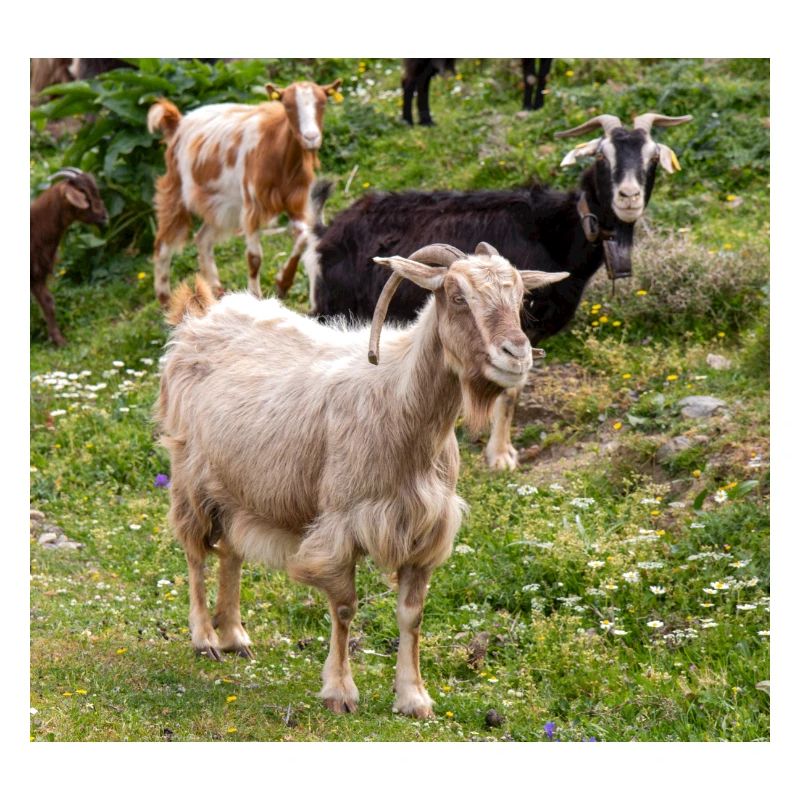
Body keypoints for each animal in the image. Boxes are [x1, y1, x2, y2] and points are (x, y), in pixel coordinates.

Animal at [30, 168, 108, 346]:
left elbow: (49, 303)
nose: (104, 216)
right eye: (84, 195)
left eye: (95, 190)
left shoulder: (38, 275)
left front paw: (59, 340)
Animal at [147, 78, 341, 307]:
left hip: (222, 206)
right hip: (176, 191)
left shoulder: (296, 201)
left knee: (203, 239)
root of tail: (177, 124)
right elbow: (254, 258)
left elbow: (303, 238)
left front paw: (282, 284)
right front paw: (256, 297)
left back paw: (217, 292)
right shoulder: (252, 205)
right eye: (287, 105)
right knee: (163, 246)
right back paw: (166, 302)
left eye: (323, 103)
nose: (311, 137)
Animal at [156, 244, 567, 717]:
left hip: (239, 483)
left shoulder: (424, 530)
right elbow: (345, 608)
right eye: (456, 295)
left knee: (230, 551)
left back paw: (235, 635)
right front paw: (340, 691)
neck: (399, 401)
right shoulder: (342, 524)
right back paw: (205, 638)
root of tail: (201, 317)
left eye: (520, 297)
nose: (516, 353)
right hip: (189, 474)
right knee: (195, 552)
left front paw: (413, 697)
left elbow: (412, 615)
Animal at [304, 112, 692, 469]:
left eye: (652, 159)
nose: (629, 197)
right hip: (335, 309)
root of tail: (326, 233)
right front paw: (500, 455)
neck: (558, 231)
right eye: (602, 157)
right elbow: (507, 391)